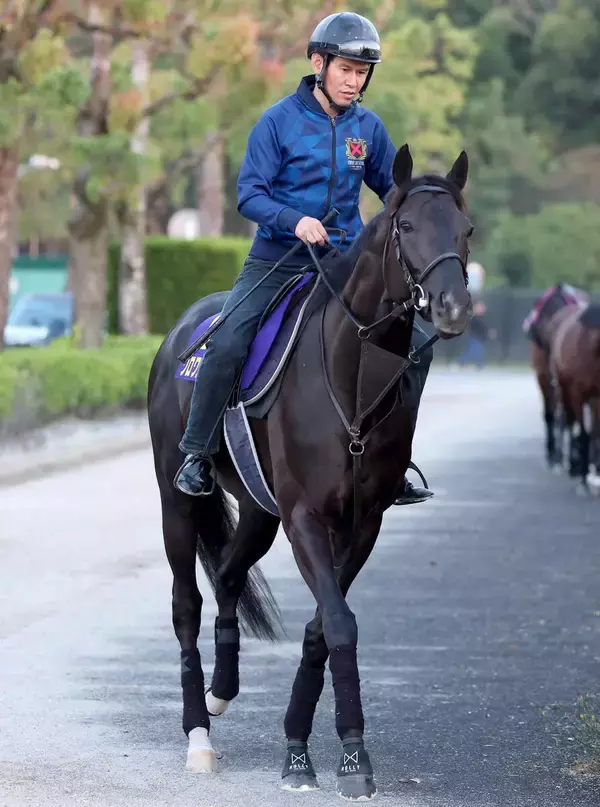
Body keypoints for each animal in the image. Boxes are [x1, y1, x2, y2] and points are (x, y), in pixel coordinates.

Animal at [147, 144, 473, 801]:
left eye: (466, 230)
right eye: (405, 226)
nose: (452, 308)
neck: (352, 375)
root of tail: (179, 334)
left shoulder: (362, 523)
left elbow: (324, 625)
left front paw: (300, 746)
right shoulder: (305, 519)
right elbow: (340, 623)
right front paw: (352, 757)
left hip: (257, 511)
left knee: (228, 577)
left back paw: (222, 692)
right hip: (179, 504)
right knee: (186, 603)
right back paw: (199, 735)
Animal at [549, 303, 600, 494]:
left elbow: (595, 433)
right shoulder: (578, 394)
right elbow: (584, 434)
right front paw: (583, 482)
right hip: (563, 390)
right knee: (566, 421)